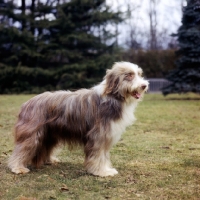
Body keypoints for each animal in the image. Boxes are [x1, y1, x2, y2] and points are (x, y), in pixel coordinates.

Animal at [8, 61, 148, 177]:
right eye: (129, 75)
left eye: (139, 74)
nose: (144, 85)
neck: (113, 97)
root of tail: (27, 103)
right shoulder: (99, 135)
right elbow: (98, 155)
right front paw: (102, 171)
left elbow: (103, 155)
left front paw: (105, 169)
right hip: (32, 133)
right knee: (22, 149)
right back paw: (17, 167)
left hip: (49, 133)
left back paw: (49, 160)